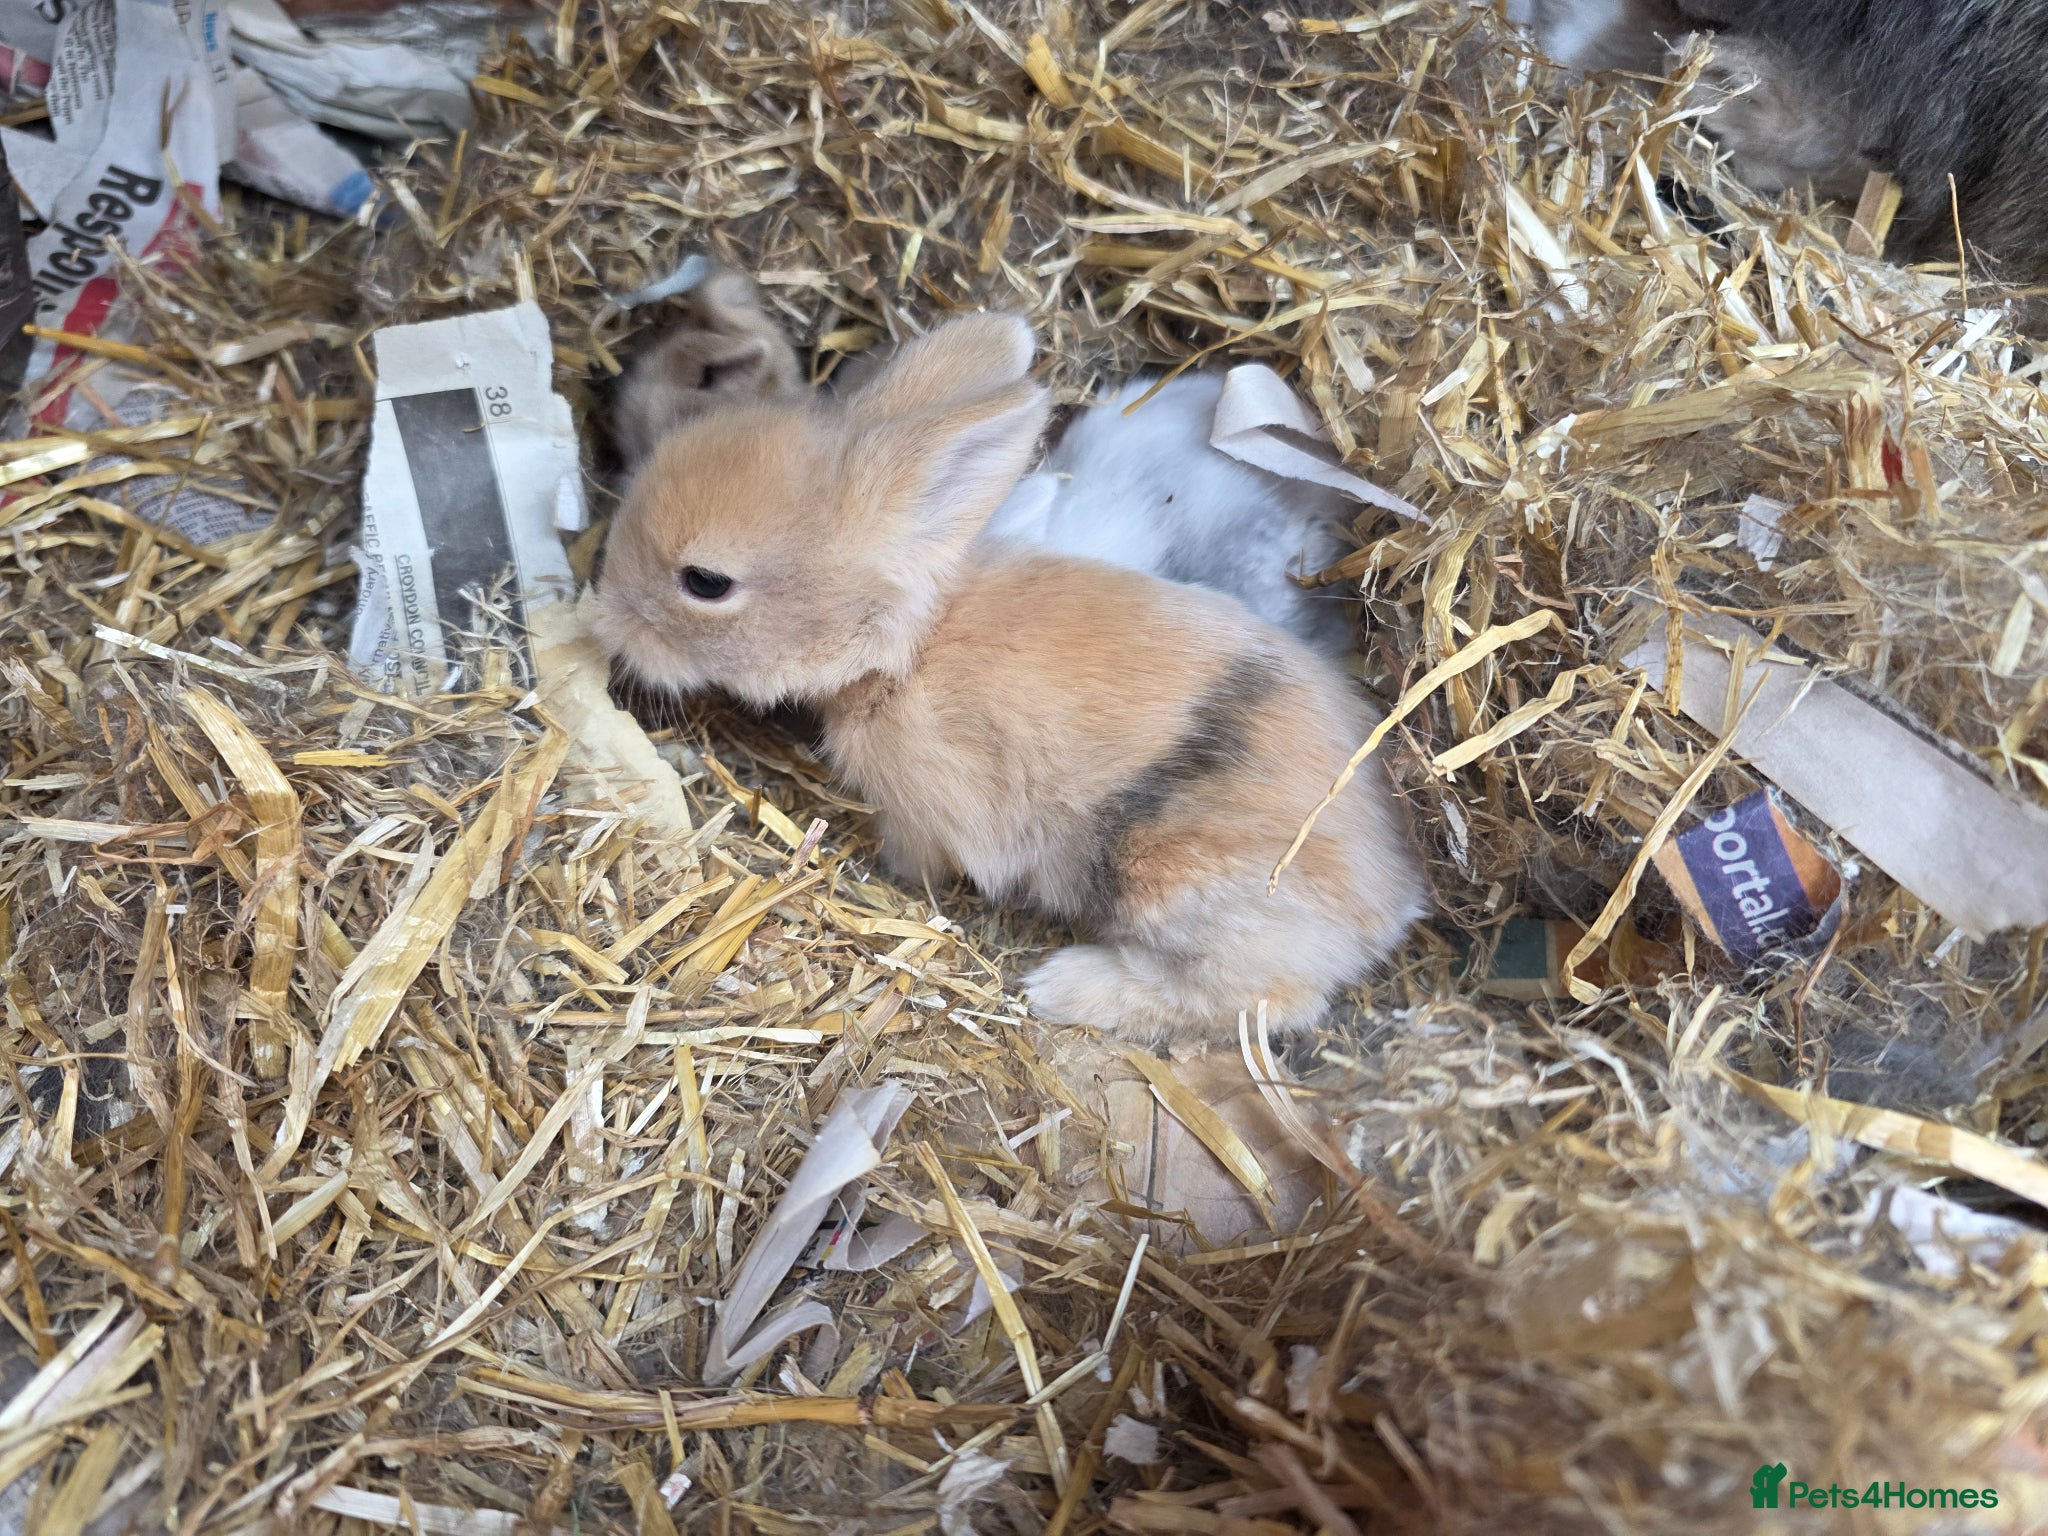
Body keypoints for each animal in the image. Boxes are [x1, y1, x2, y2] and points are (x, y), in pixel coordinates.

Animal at [592, 313, 1428, 1044]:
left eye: (705, 582)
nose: (607, 622)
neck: (909, 645)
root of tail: (1392, 904)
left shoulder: (922, 813)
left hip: (1182, 887)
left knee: (1263, 998)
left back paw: (1066, 986)